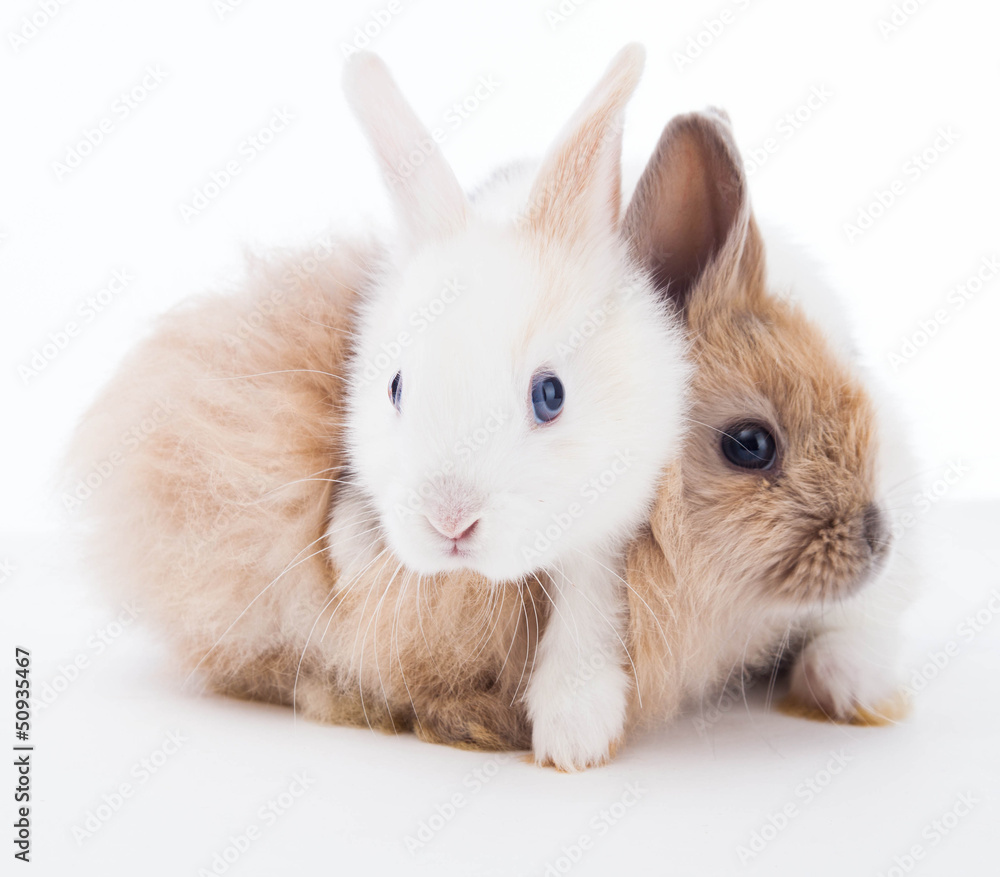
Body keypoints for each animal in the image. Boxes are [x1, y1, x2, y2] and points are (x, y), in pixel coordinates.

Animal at [65, 45, 692, 772]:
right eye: (394, 387)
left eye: (551, 395)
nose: (450, 522)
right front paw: (353, 547)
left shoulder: (619, 507)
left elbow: (588, 586)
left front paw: (574, 732)